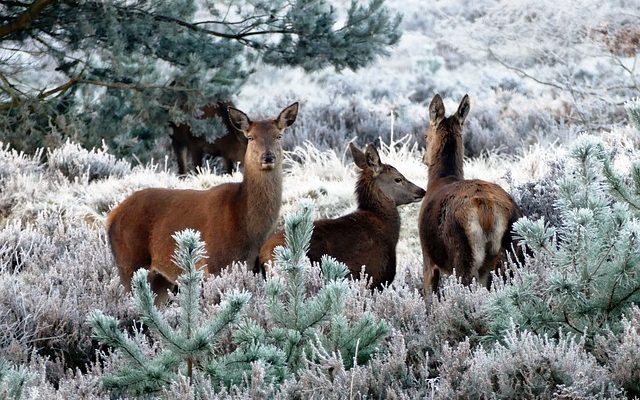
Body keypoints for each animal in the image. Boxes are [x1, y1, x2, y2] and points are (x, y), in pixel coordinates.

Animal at [109, 103, 298, 304]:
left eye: (279, 135)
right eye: (251, 137)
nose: (268, 157)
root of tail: (111, 217)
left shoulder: (253, 266)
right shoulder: (214, 264)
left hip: (159, 278)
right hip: (129, 263)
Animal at [418, 93, 524, 294]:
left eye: (426, 135)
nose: (423, 158)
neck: (440, 180)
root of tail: (487, 211)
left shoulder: (428, 257)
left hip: (464, 255)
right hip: (512, 252)